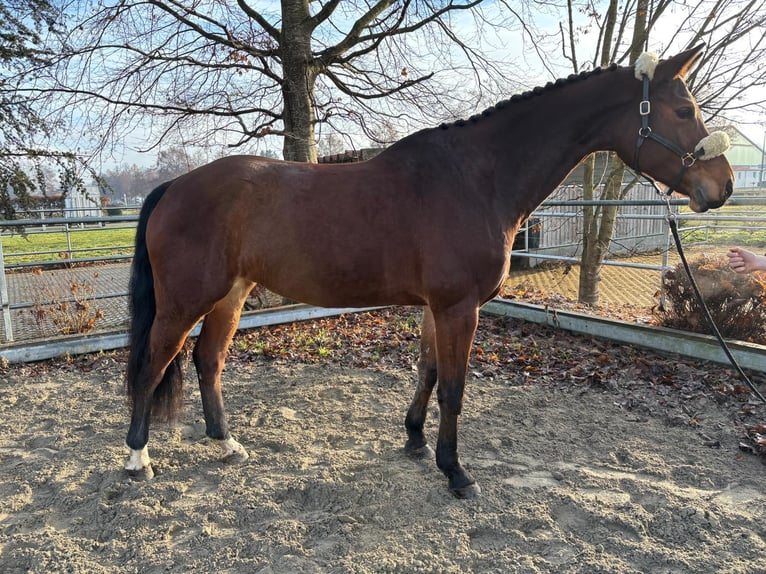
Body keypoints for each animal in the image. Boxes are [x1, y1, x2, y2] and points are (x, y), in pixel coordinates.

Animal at [125, 45, 734, 498]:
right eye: (684, 111)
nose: (723, 186)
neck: (476, 179)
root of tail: (174, 186)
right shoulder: (459, 308)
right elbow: (455, 388)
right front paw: (455, 471)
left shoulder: (436, 309)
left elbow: (428, 372)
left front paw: (415, 440)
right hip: (186, 299)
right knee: (153, 363)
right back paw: (137, 458)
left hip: (230, 293)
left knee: (207, 361)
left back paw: (226, 444)